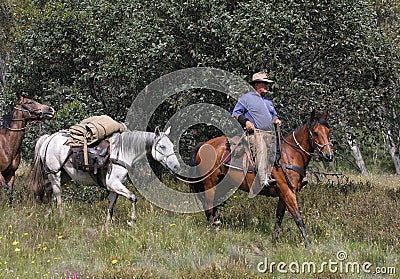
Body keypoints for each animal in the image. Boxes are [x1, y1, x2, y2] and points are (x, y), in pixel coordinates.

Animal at [29, 127, 181, 228]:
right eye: (162, 146)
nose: (176, 167)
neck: (122, 153)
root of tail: (49, 138)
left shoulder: (115, 187)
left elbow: (111, 206)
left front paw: (107, 227)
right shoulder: (114, 184)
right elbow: (133, 197)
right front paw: (132, 220)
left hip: (64, 175)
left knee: (50, 190)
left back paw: (48, 215)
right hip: (55, 173)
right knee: (58, 195)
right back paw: (60, 217)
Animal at [189, 110, 332, 246]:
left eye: (328, 131)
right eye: (316, 133)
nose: (329, 155)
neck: (290, 155)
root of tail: (203, 144)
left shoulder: (283, 195)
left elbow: (279, 218)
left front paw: (274, 241)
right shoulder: (288, 191)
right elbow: (298, 218)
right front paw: (308, 244)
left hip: (223, 183)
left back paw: (217, 227)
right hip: (210, 183)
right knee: (209, 207)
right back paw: (212, 231)